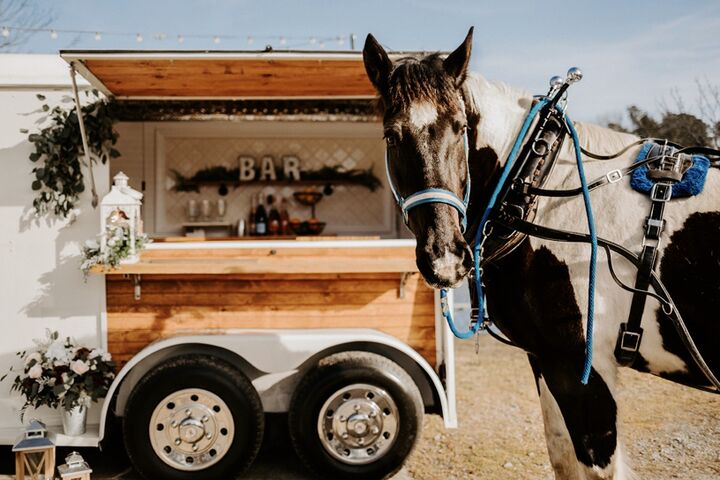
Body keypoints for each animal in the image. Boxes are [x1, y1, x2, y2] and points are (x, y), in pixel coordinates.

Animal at [362, 28, 720, 478]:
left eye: (459, 128)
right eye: (392, 135)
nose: (445, 256)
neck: (539, 187)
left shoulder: (583, 371)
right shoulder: (548, 361)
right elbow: (562, 458)